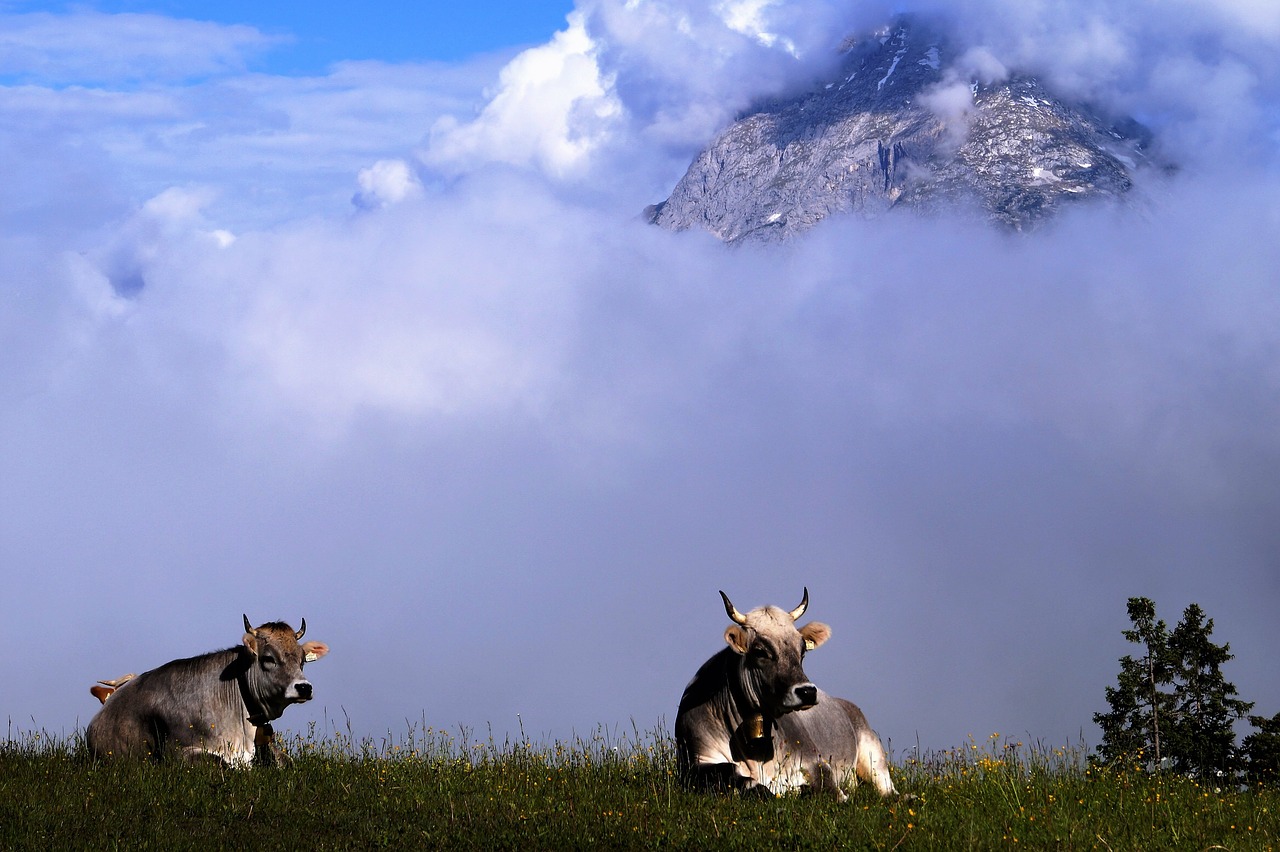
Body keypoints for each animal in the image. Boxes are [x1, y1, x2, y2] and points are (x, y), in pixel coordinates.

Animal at [675, 583, 896, 798]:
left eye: (803, 649)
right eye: (760, 651)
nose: (807, 692)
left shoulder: (814, 759)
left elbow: (832, 791)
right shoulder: (694, 763)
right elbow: (732, 773)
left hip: (873, 754)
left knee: (887, 790)